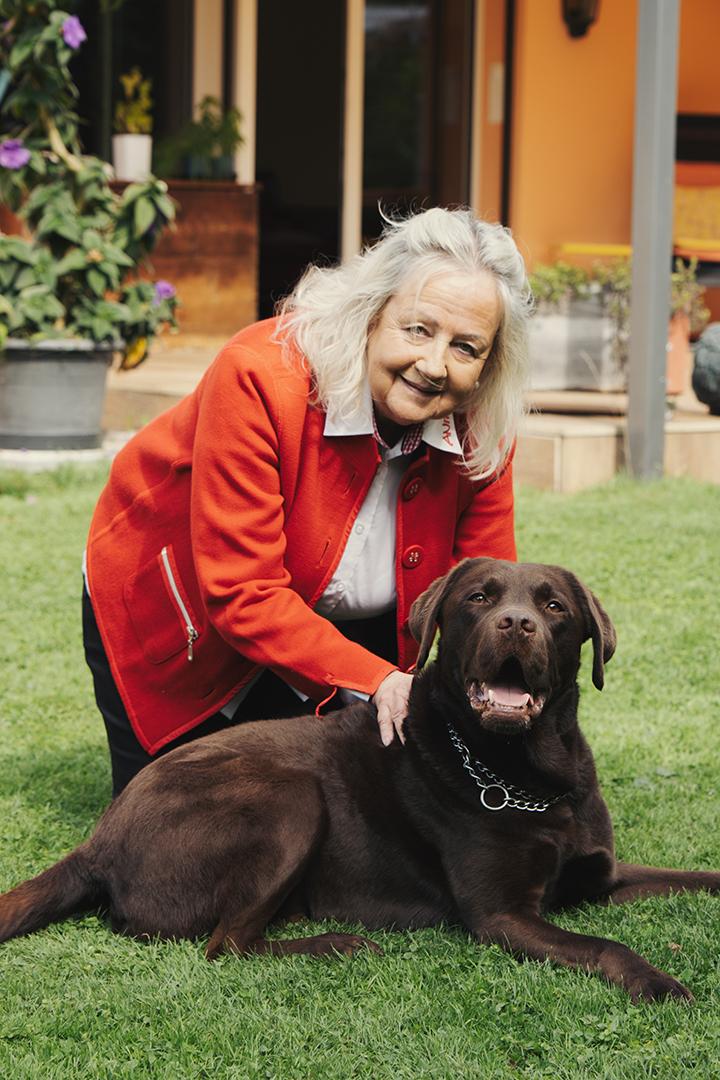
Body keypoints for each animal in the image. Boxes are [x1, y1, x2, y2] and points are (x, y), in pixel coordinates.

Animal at [1, 558, 718, 1001]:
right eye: (479, 598)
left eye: (554, 606)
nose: (517, 623)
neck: (532, 776)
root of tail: (98, 840)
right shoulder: (502, 914)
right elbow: (604, 945)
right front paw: (658, 982)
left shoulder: (602, 874)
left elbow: (693, 876)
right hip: (290, 799)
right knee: (226, 945)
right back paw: (338, 944)